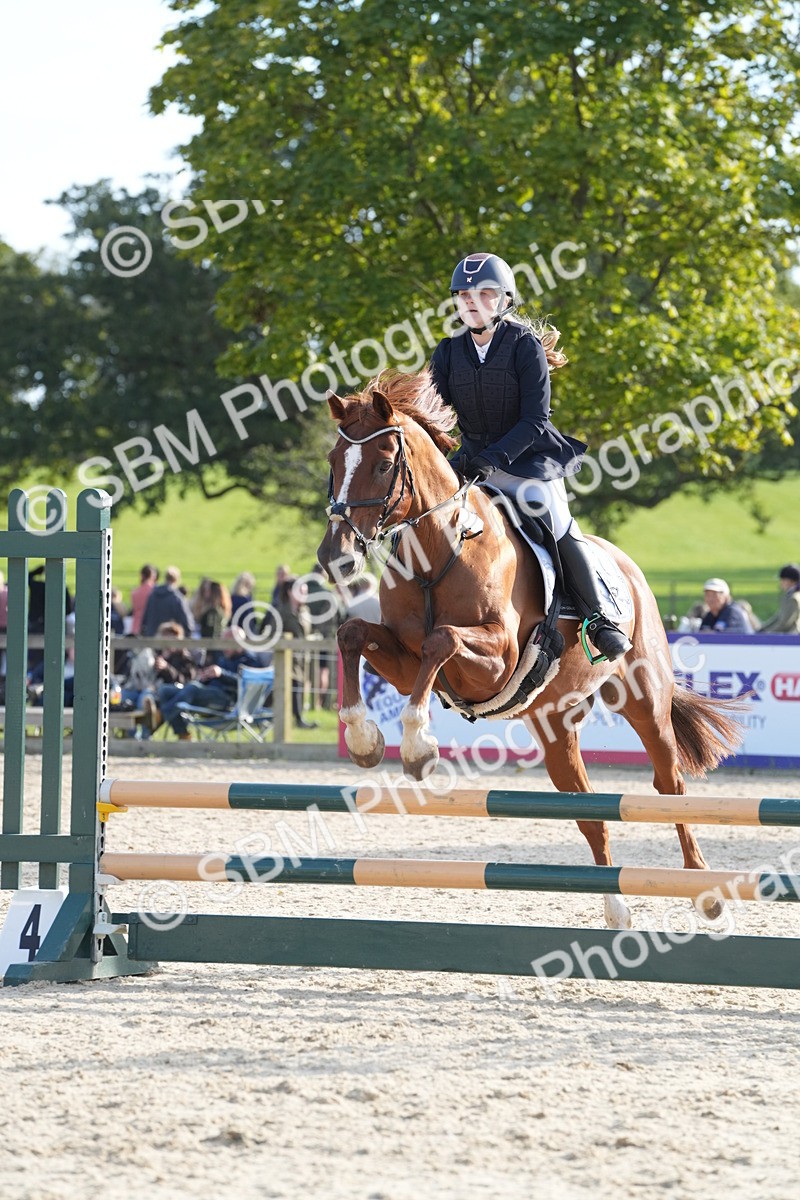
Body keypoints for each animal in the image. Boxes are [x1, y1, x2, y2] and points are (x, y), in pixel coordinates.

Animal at [317, 370, 743, 930]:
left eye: (384, 464)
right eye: (332, 462)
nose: (335, 558)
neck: (438, 552)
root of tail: (628, 568)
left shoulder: (494, 661)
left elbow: (441, 639)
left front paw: (417, 746)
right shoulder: (407, 663)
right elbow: (353, 635)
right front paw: (364, 738)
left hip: (644, 700)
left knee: (670, 787)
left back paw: (706, 894)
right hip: (554, 723)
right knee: (589, 813)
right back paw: (616, 910)